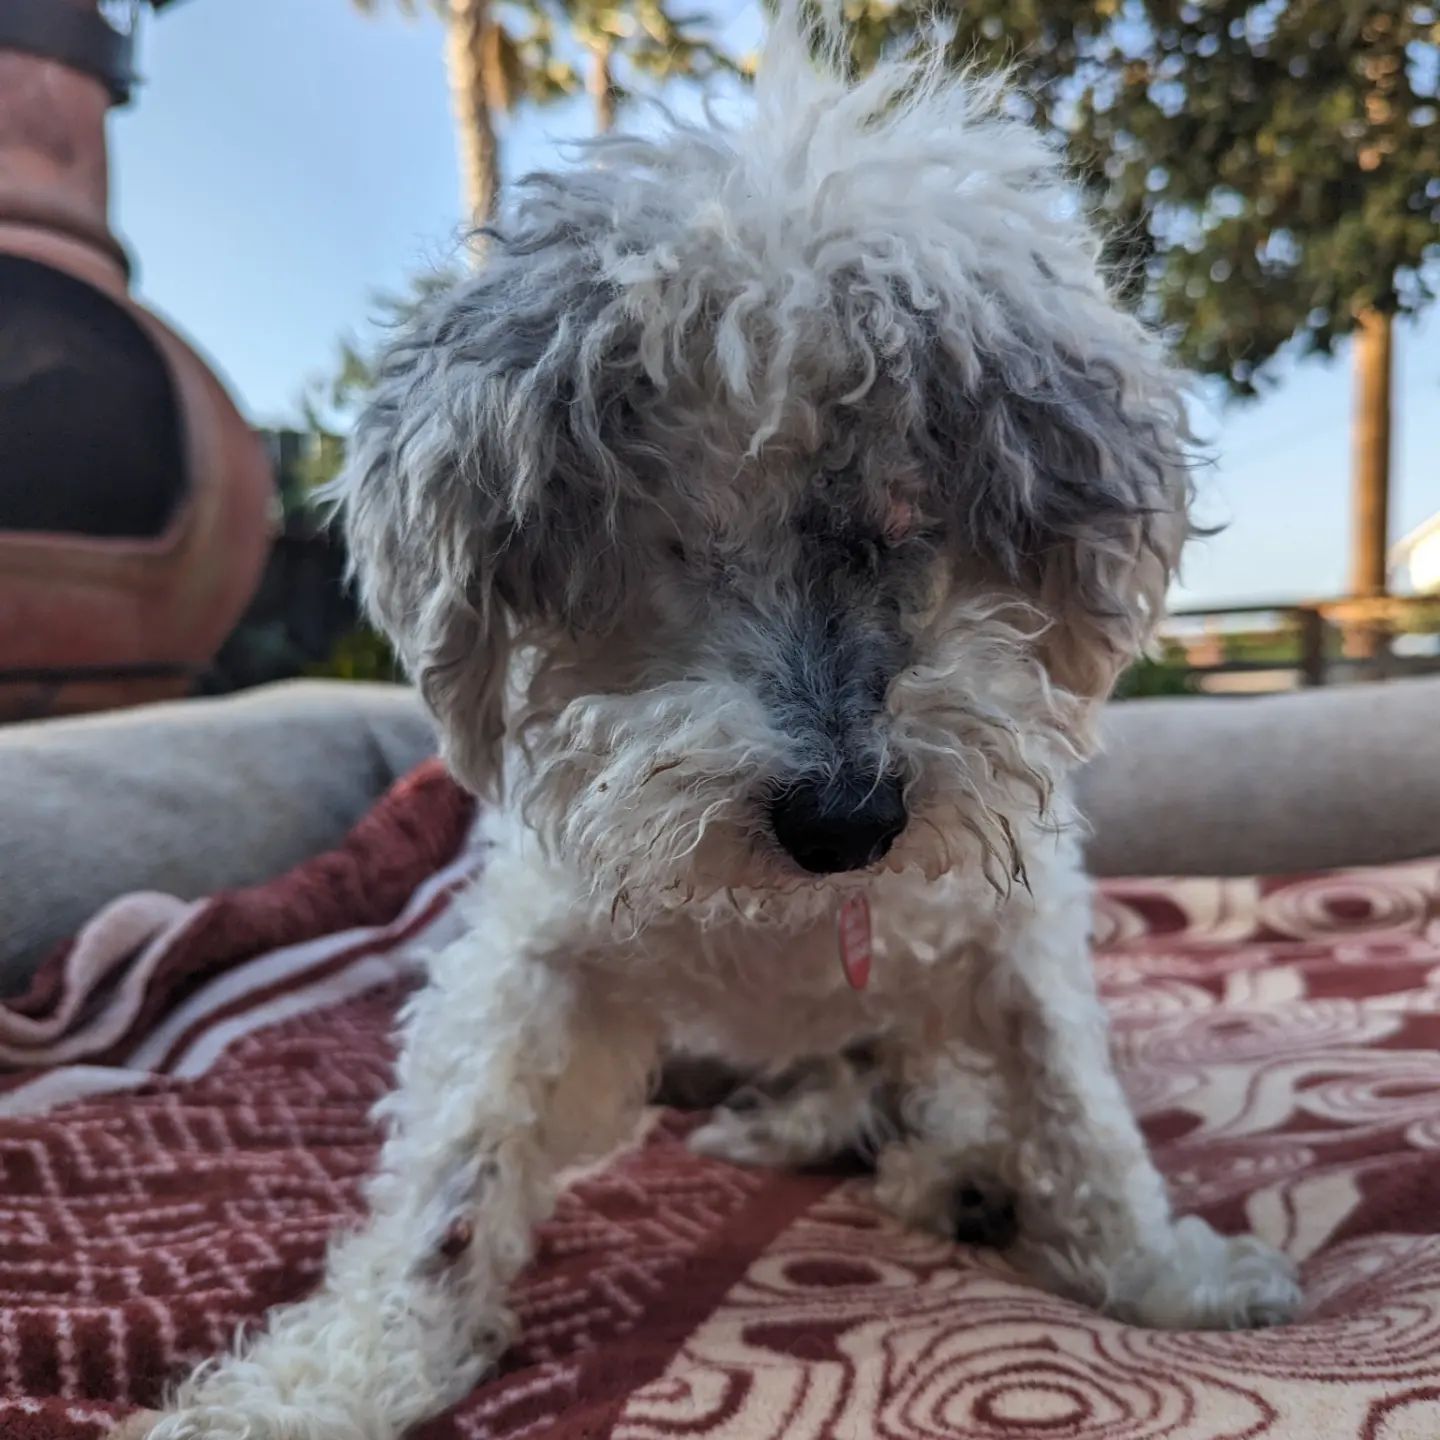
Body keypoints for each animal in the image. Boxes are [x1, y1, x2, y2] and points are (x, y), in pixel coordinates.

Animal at [137, 14, 1307, 1440]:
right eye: (673, 535)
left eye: (916, 515)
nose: (847, 820)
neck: (792, 926)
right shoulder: (533, 952)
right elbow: (458, 1167)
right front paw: (331, 1375)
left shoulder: (1014, 932)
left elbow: (1075, 1104)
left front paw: (1159, 1273)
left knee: (918, 1088)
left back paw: (953, 1172)